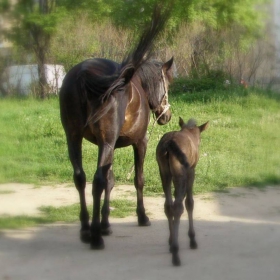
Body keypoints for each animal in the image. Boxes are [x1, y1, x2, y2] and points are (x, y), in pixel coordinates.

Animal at [59, 6, 173, 248]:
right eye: (167, 83)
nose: (166, 115)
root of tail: (84, 74)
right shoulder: (139, 143)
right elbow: (138, 179)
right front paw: (142, 216)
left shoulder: (108, 145)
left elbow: (110, 181)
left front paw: (106, 223)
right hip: (105, 142)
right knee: (96, 181)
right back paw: (95, 237)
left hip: (73, 138)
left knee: (81, 178)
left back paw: (86, 229)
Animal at [156, 117, 209, 266]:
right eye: (200, 137)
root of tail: (169, 145)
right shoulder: (191, 171)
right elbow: (190, 203)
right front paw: (192, 239)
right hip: (180, 172)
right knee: (178, 207)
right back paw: (176, 253)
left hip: (164, 173)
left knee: (168, 206)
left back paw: (171, 243)